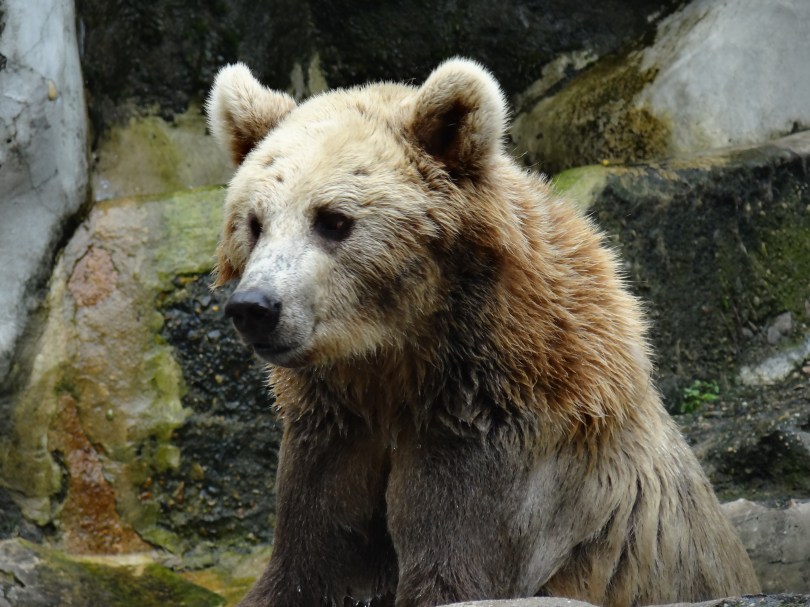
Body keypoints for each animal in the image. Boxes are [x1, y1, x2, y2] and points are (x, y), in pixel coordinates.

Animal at [205, 59, 760, 607]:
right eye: (254, 222)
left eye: (333, 220)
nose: (254, 307)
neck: (400, 362)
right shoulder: (334, 432)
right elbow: (308, 558)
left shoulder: (495, 444)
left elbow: (452, 566)